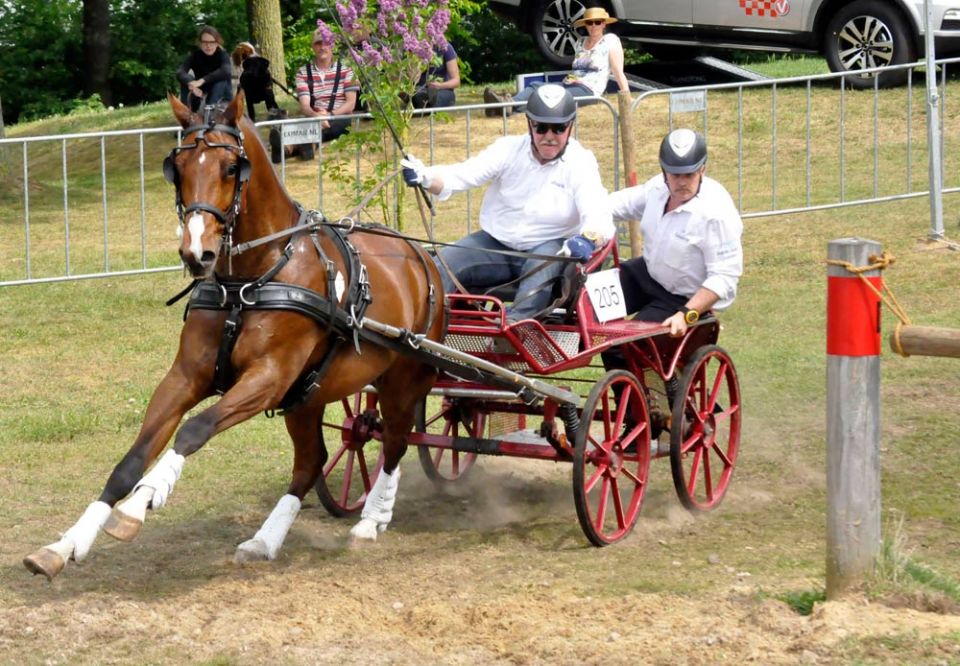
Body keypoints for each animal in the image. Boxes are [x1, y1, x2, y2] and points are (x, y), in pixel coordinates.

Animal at [21, 91, 442, 580]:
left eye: (229, 168)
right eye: (178, 167)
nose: (196, 252)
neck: (249, 279)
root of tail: (423, 258)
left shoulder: (267, 378)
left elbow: (194, 429)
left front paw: (140, 504)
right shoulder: (187, 376)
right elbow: (130, 460)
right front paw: (65, 544)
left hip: (401, 379)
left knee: (394, 441)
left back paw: (371, 521)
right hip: (307, 396)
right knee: (311, 462)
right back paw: (265, 540)